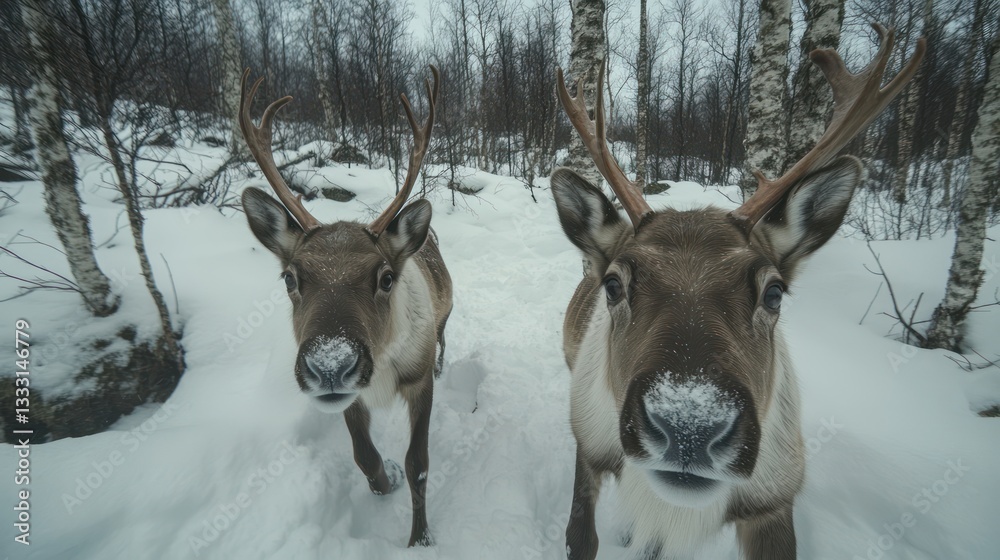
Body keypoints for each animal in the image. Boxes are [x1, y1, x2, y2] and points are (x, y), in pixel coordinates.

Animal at [237, 66, 451, 547]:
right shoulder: (352, 398)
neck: (385, 365)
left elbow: (419, 464)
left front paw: (421, 538)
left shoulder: (418, 381)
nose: (331, 366)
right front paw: (386, 478)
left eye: (385, 277)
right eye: (290, 277)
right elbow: (365, 458)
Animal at [550, 25, 924, 560]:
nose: (689, 428)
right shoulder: (589, 444)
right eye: (614, 285)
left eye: (775, 293)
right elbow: (581, 537)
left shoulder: (774, 499)